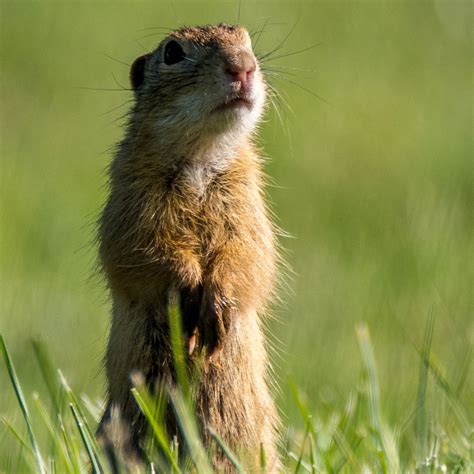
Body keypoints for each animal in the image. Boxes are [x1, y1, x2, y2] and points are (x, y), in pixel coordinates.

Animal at [97, 24, 282, 472]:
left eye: (247, 40)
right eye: (173, 52)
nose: (243, 66)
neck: (201, 155)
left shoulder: (247, 201)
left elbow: (249, 253)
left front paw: (218, 302)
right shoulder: (132, 197)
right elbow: (142, 249)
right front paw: (185, 287)